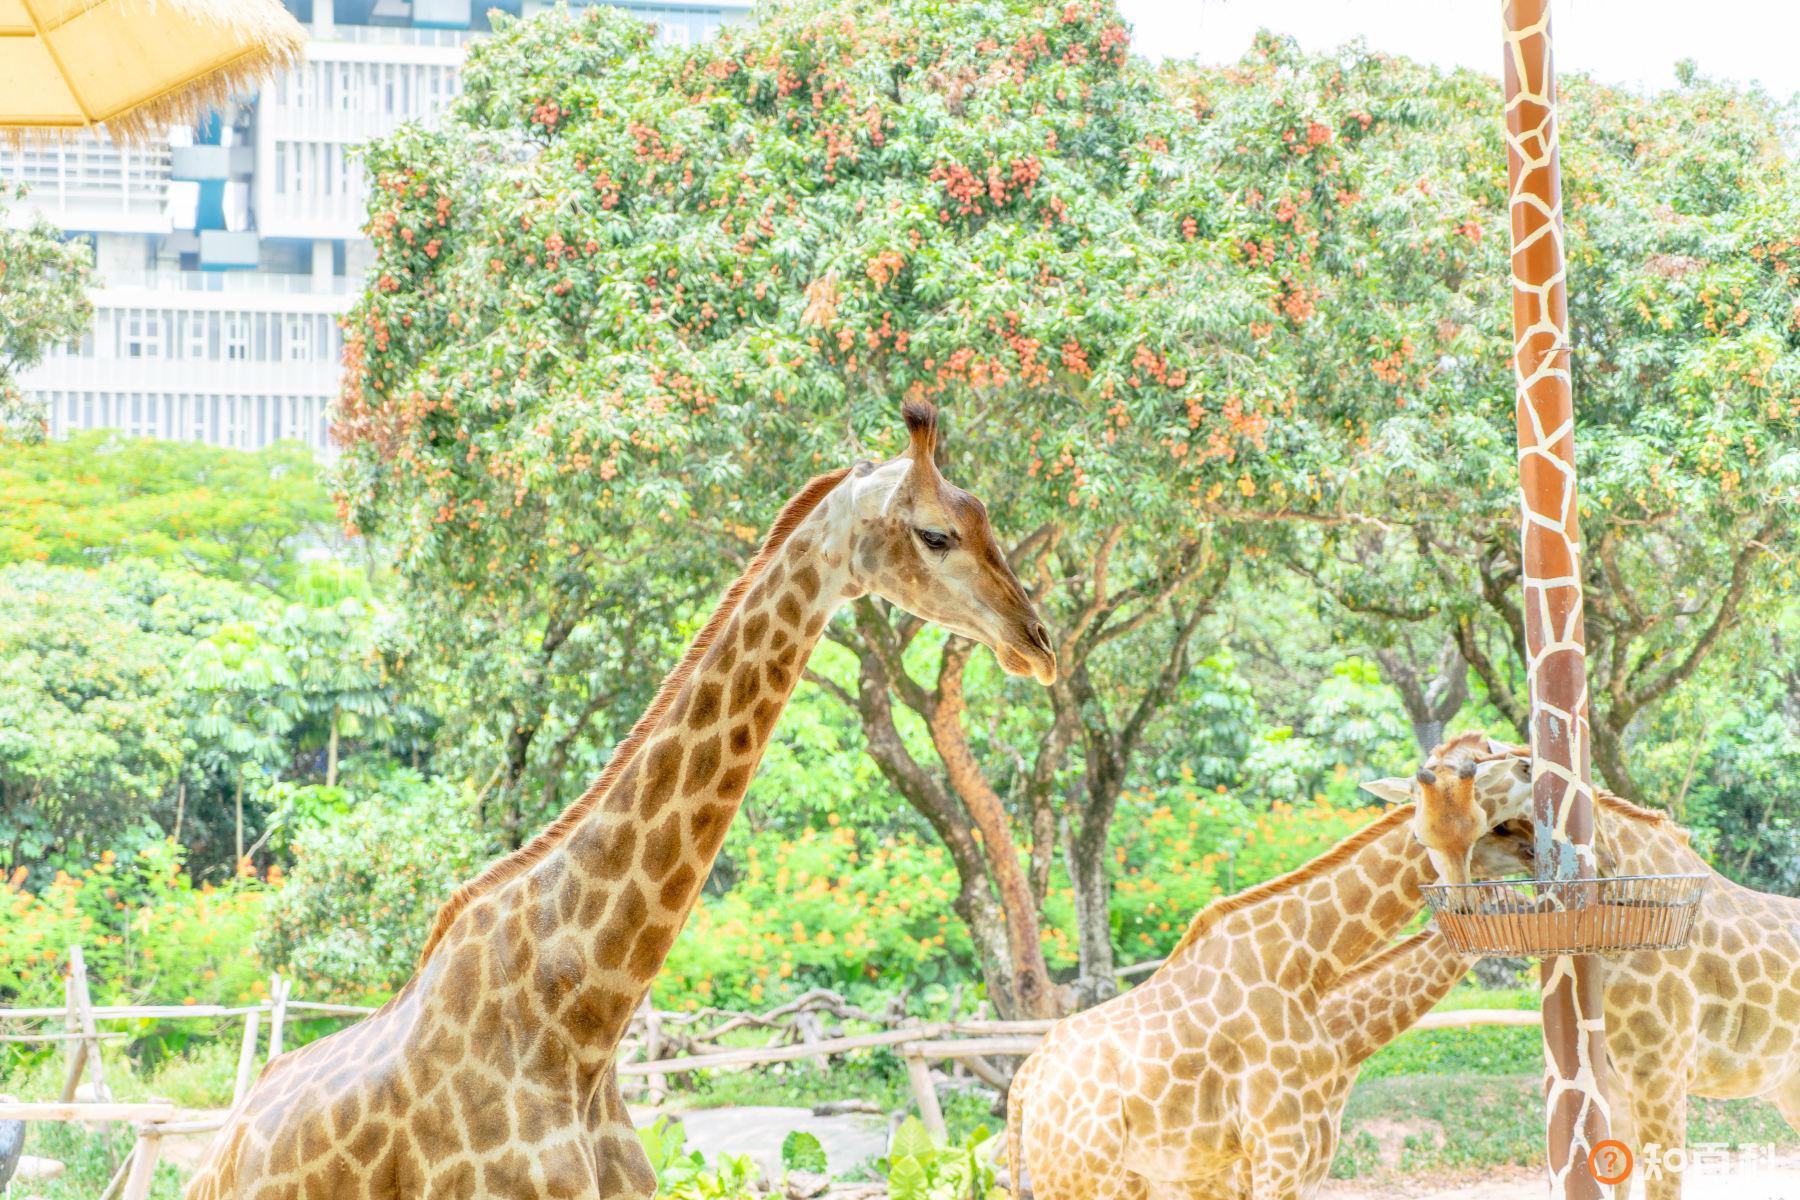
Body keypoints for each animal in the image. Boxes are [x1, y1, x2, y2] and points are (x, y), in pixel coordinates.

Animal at [1008, 798, 1526, 1200]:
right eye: (1498, 826)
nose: (1530, 852)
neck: (1342, 1041)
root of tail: (1023, 1084)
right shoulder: (1271, 1162)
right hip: (1083, 1177)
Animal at [1360, 734, 1800, 1200]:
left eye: (1486, 826)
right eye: (1419, 835)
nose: (1462, 906)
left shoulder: (1660, 1075)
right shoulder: (1621, 1083)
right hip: (1787, 1087)